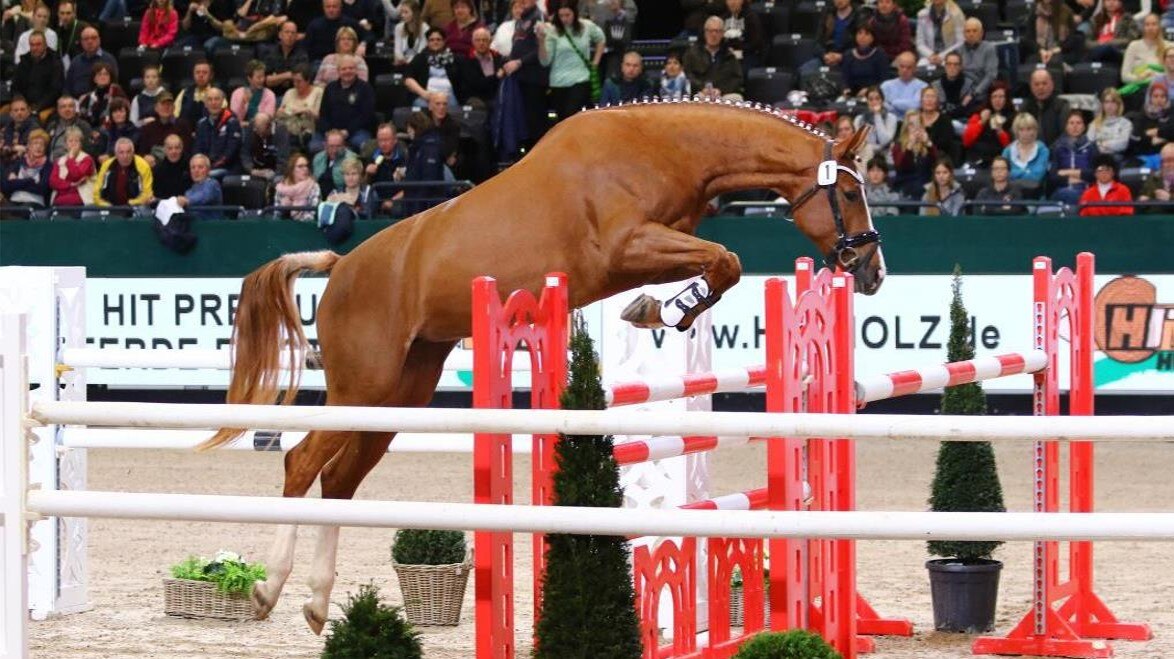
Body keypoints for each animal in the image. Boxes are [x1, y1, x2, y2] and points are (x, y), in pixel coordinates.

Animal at [201, 98, 882, 634]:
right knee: (302, 462)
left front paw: (662, 310)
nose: (871, 271)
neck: (663, 149)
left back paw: (317, 603)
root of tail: (341, 265)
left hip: (401, 393)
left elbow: (720, 265)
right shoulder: (628, 245)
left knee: (339, 480)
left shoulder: (656, 245)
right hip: (363, 387)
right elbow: (725, 259)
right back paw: (268, 590)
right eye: (849, 193)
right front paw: (663, 310)